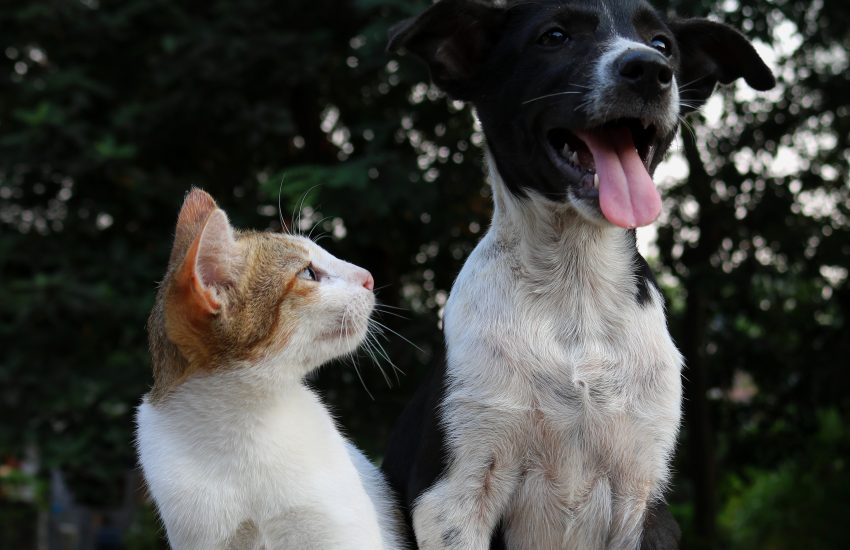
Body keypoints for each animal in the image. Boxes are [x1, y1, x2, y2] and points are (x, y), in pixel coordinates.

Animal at [384, 1, 776, 550]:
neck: (576, 291)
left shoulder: (644, 500)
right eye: (554, 36)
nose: (650, 71)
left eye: (662, 44)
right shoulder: (453, 498)